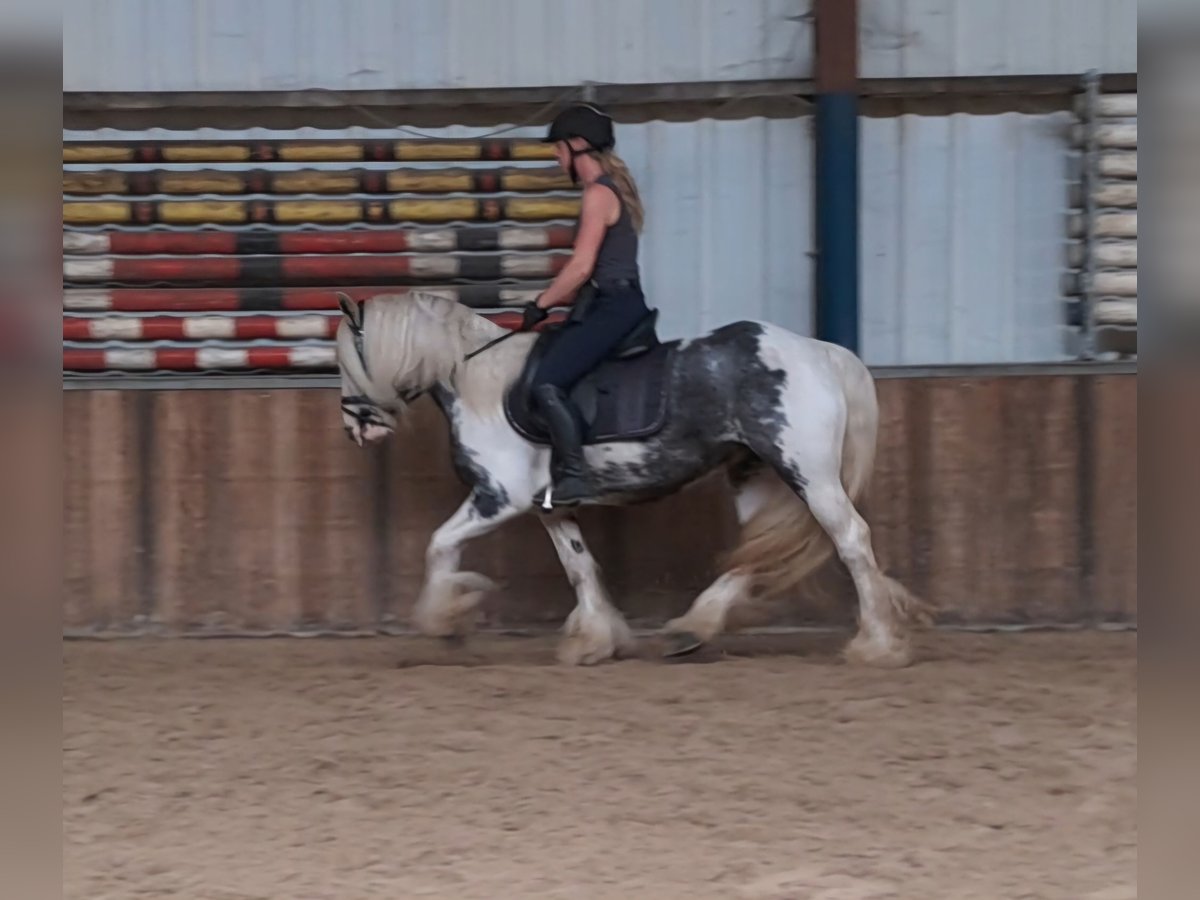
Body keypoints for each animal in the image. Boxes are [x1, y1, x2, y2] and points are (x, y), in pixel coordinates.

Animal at [333, 292, 931, 667]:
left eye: (347, 360)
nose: (356, 428)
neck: (476, 378)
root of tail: (822, 352)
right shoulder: (551, 507)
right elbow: (580, 567)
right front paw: (593, 642)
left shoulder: (498, 497)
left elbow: (438, 544)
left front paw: (444, 619)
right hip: (754, 474)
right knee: (755, 552)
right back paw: (691, 628)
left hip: (808, 473)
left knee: (850, 539)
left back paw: (879, 645)